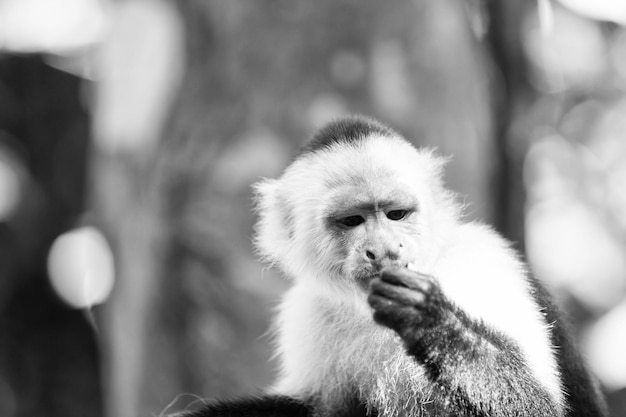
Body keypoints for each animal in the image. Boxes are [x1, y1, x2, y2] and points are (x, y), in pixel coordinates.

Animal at [184, 115, 604, 414]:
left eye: (396, 214)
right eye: (352, 221)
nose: (383, 250)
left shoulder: (479, 263)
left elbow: (540, 407)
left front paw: (430, 319)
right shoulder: (307, 310)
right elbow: (319, 406)